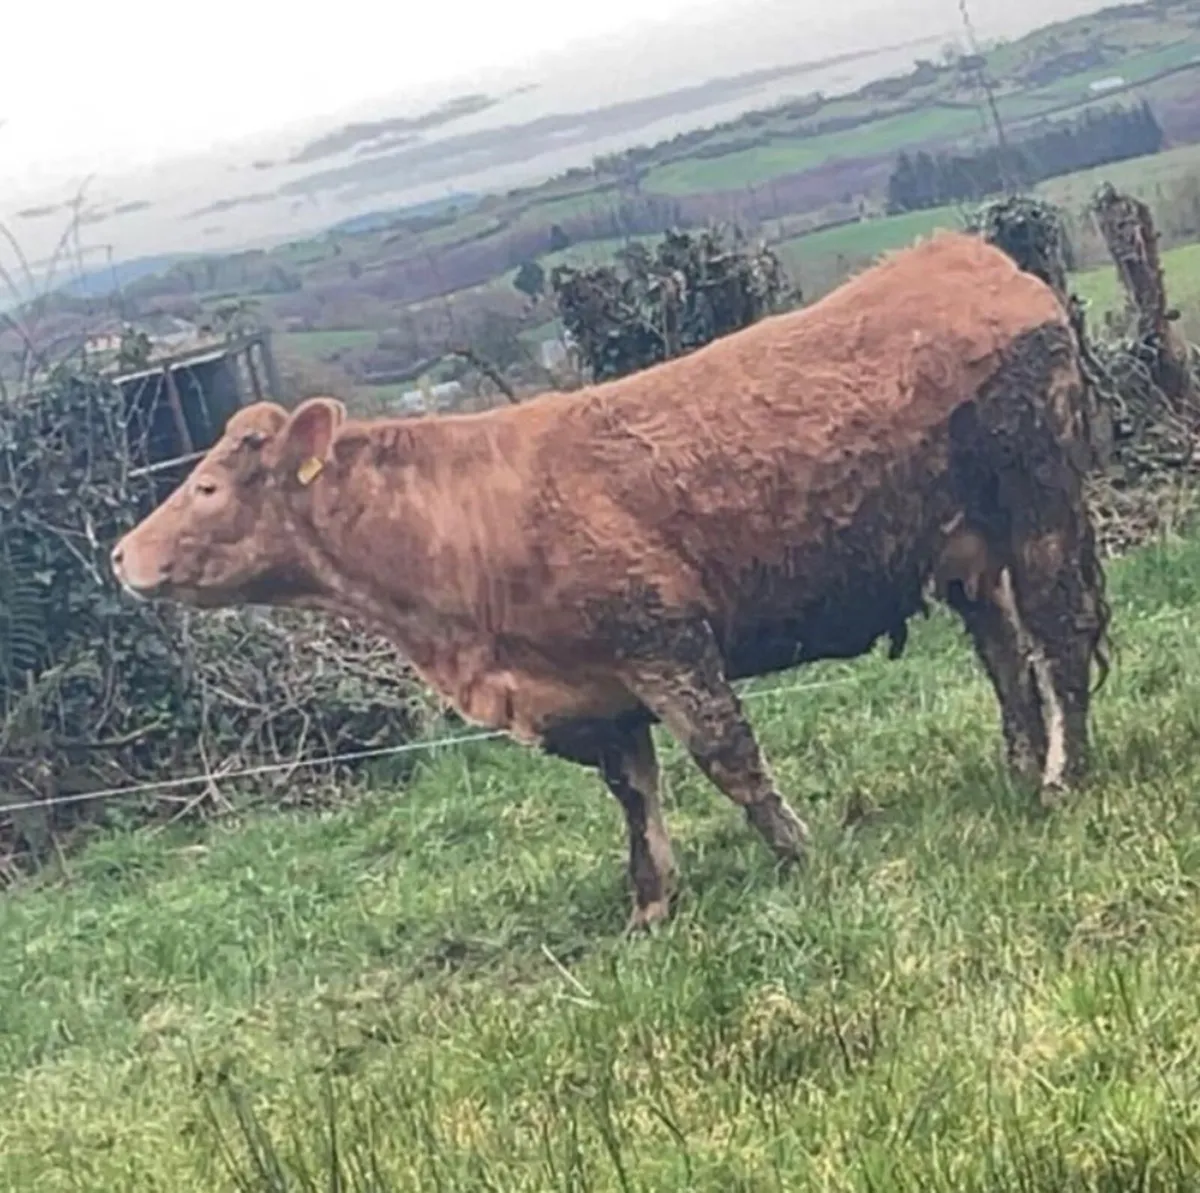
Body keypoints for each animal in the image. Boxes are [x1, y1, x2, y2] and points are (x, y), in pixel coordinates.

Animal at [110, 229, 1111, 933]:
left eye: (207, 486)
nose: (122, 555)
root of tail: (965, 254)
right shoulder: (595, 691)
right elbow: (636, 796)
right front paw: (652, 905)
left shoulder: (664, 638)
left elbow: (728, 757)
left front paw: (799, 853)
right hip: (967, 552)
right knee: (1006, 658)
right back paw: (1017, 770)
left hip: (1040, 507)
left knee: (1058, 639)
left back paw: (1063, 777)